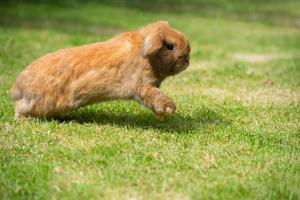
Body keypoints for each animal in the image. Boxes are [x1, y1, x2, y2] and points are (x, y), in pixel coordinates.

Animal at [11, 20, 192, 120]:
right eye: (170, 46)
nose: (187, 58)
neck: (144, 53)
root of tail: (18, 86)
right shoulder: (143, 86)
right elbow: (154, 96)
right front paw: (169, 108)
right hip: (42, 104)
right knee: (21, 109)